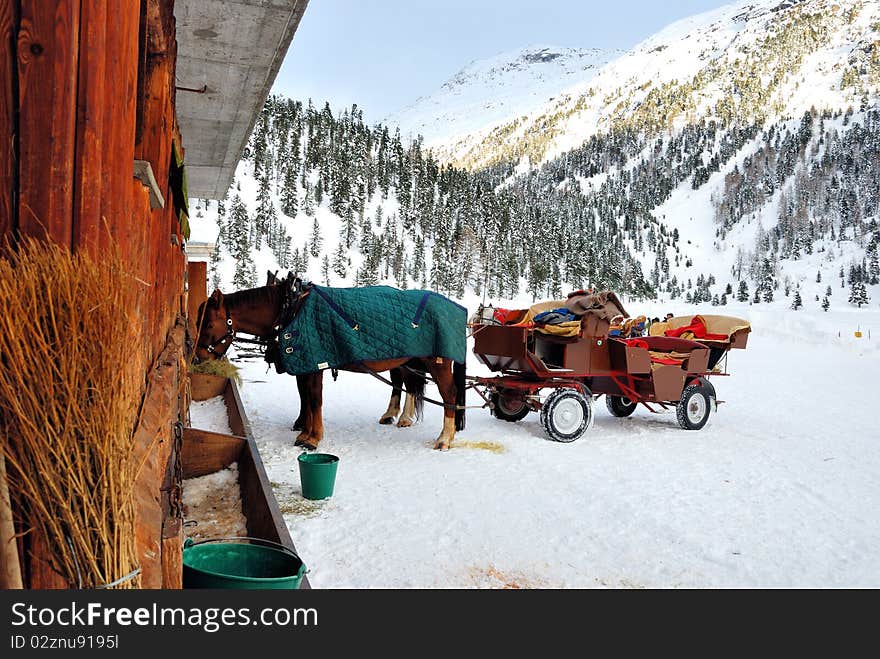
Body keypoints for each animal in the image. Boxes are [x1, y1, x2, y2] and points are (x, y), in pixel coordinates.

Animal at [192, 278, 468, 448]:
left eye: (208, 324)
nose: (197, 358)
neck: (291, 309)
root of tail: (457, 309)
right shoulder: (304, 365)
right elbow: (305, 397)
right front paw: (304, 431)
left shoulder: (316, 364)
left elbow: (314, 399)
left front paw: (313, 438)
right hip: (408, 359)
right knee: (408, 384)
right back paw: (400, 417)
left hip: (437, 363)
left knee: (449, 394)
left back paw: (444, 438)